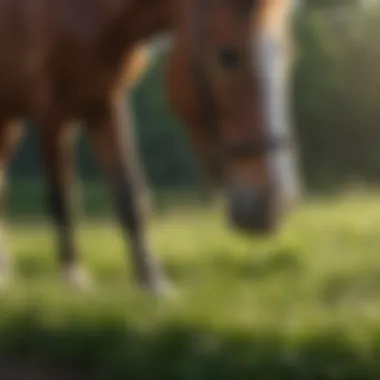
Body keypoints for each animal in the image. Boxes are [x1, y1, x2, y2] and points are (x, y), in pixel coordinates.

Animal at [0, 0, 302, 294]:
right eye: (228, 56)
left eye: (287, 56)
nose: (276, 205)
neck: (77, 13)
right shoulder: (50, 111)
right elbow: (63, 196)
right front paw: (73, 275)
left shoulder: (105, 104)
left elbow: (130, 196)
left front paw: (152, 280)